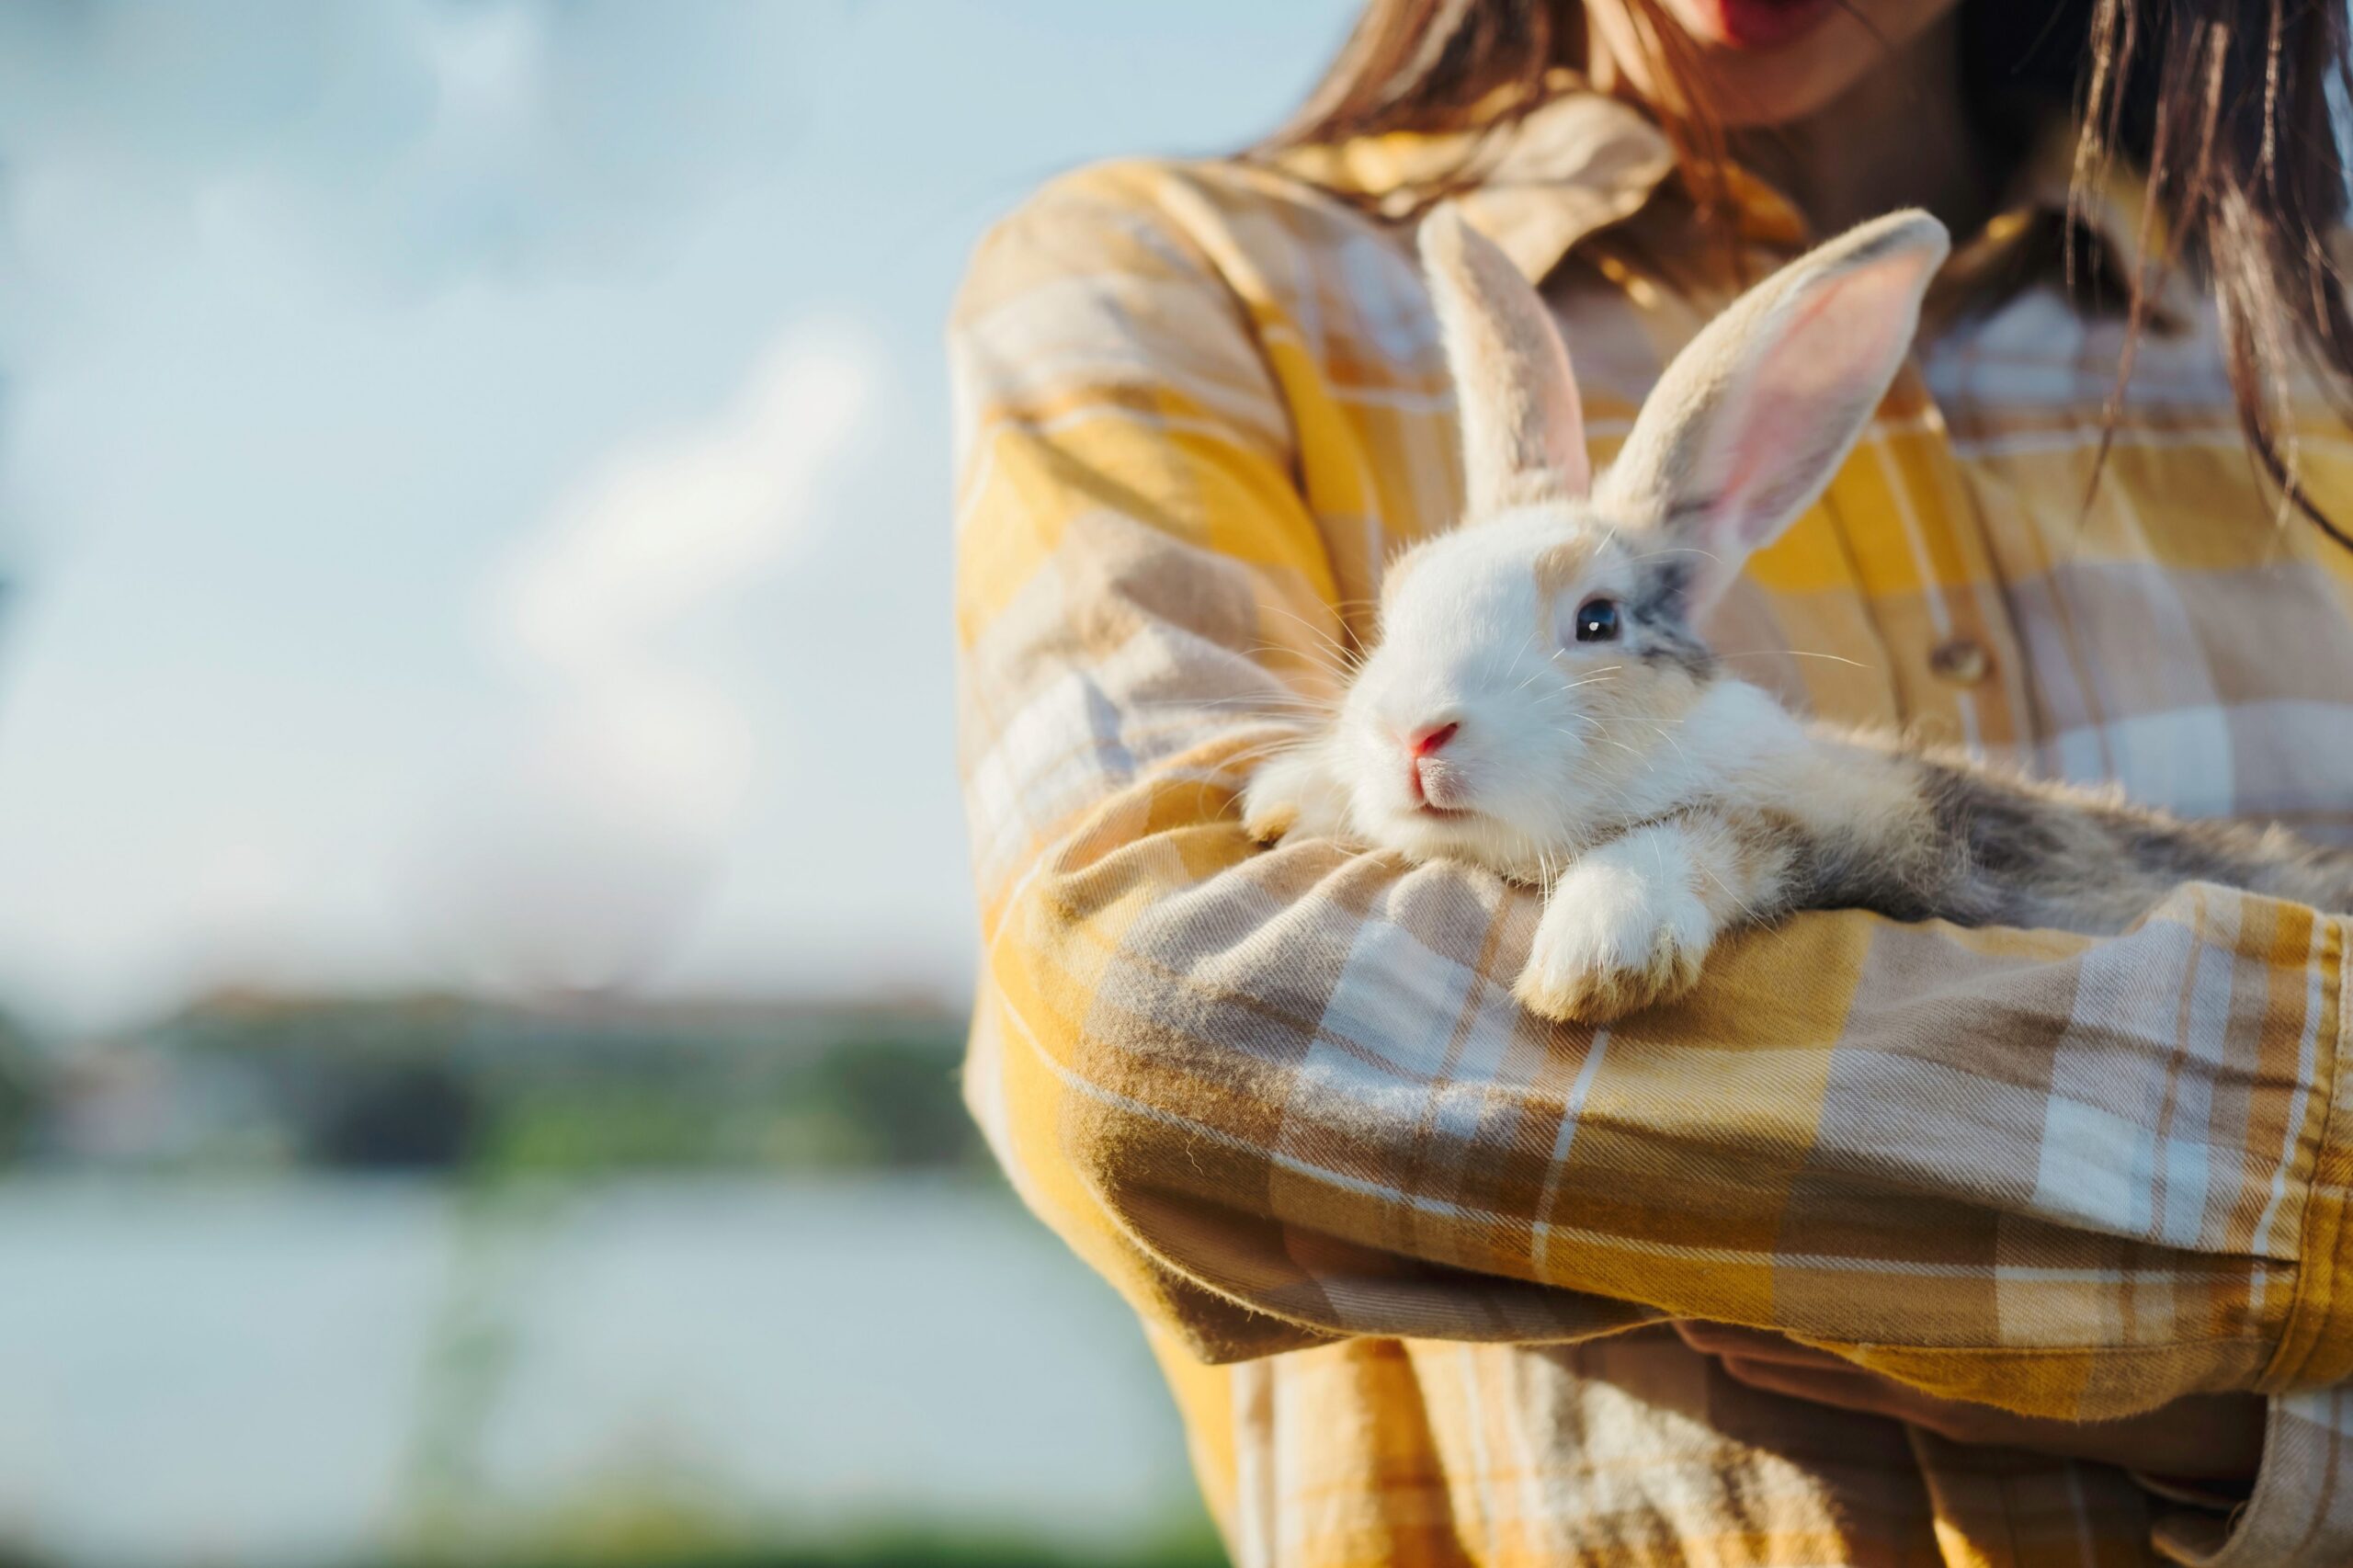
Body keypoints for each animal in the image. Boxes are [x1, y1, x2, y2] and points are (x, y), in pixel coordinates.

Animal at [1242, 205, 2353, 1023]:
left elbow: (1701, 835)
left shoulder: (1865, 833)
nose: (1415, 736)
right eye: (1398, 603)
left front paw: (1598, 956)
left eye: (1597, 620)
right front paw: (1290, 797)